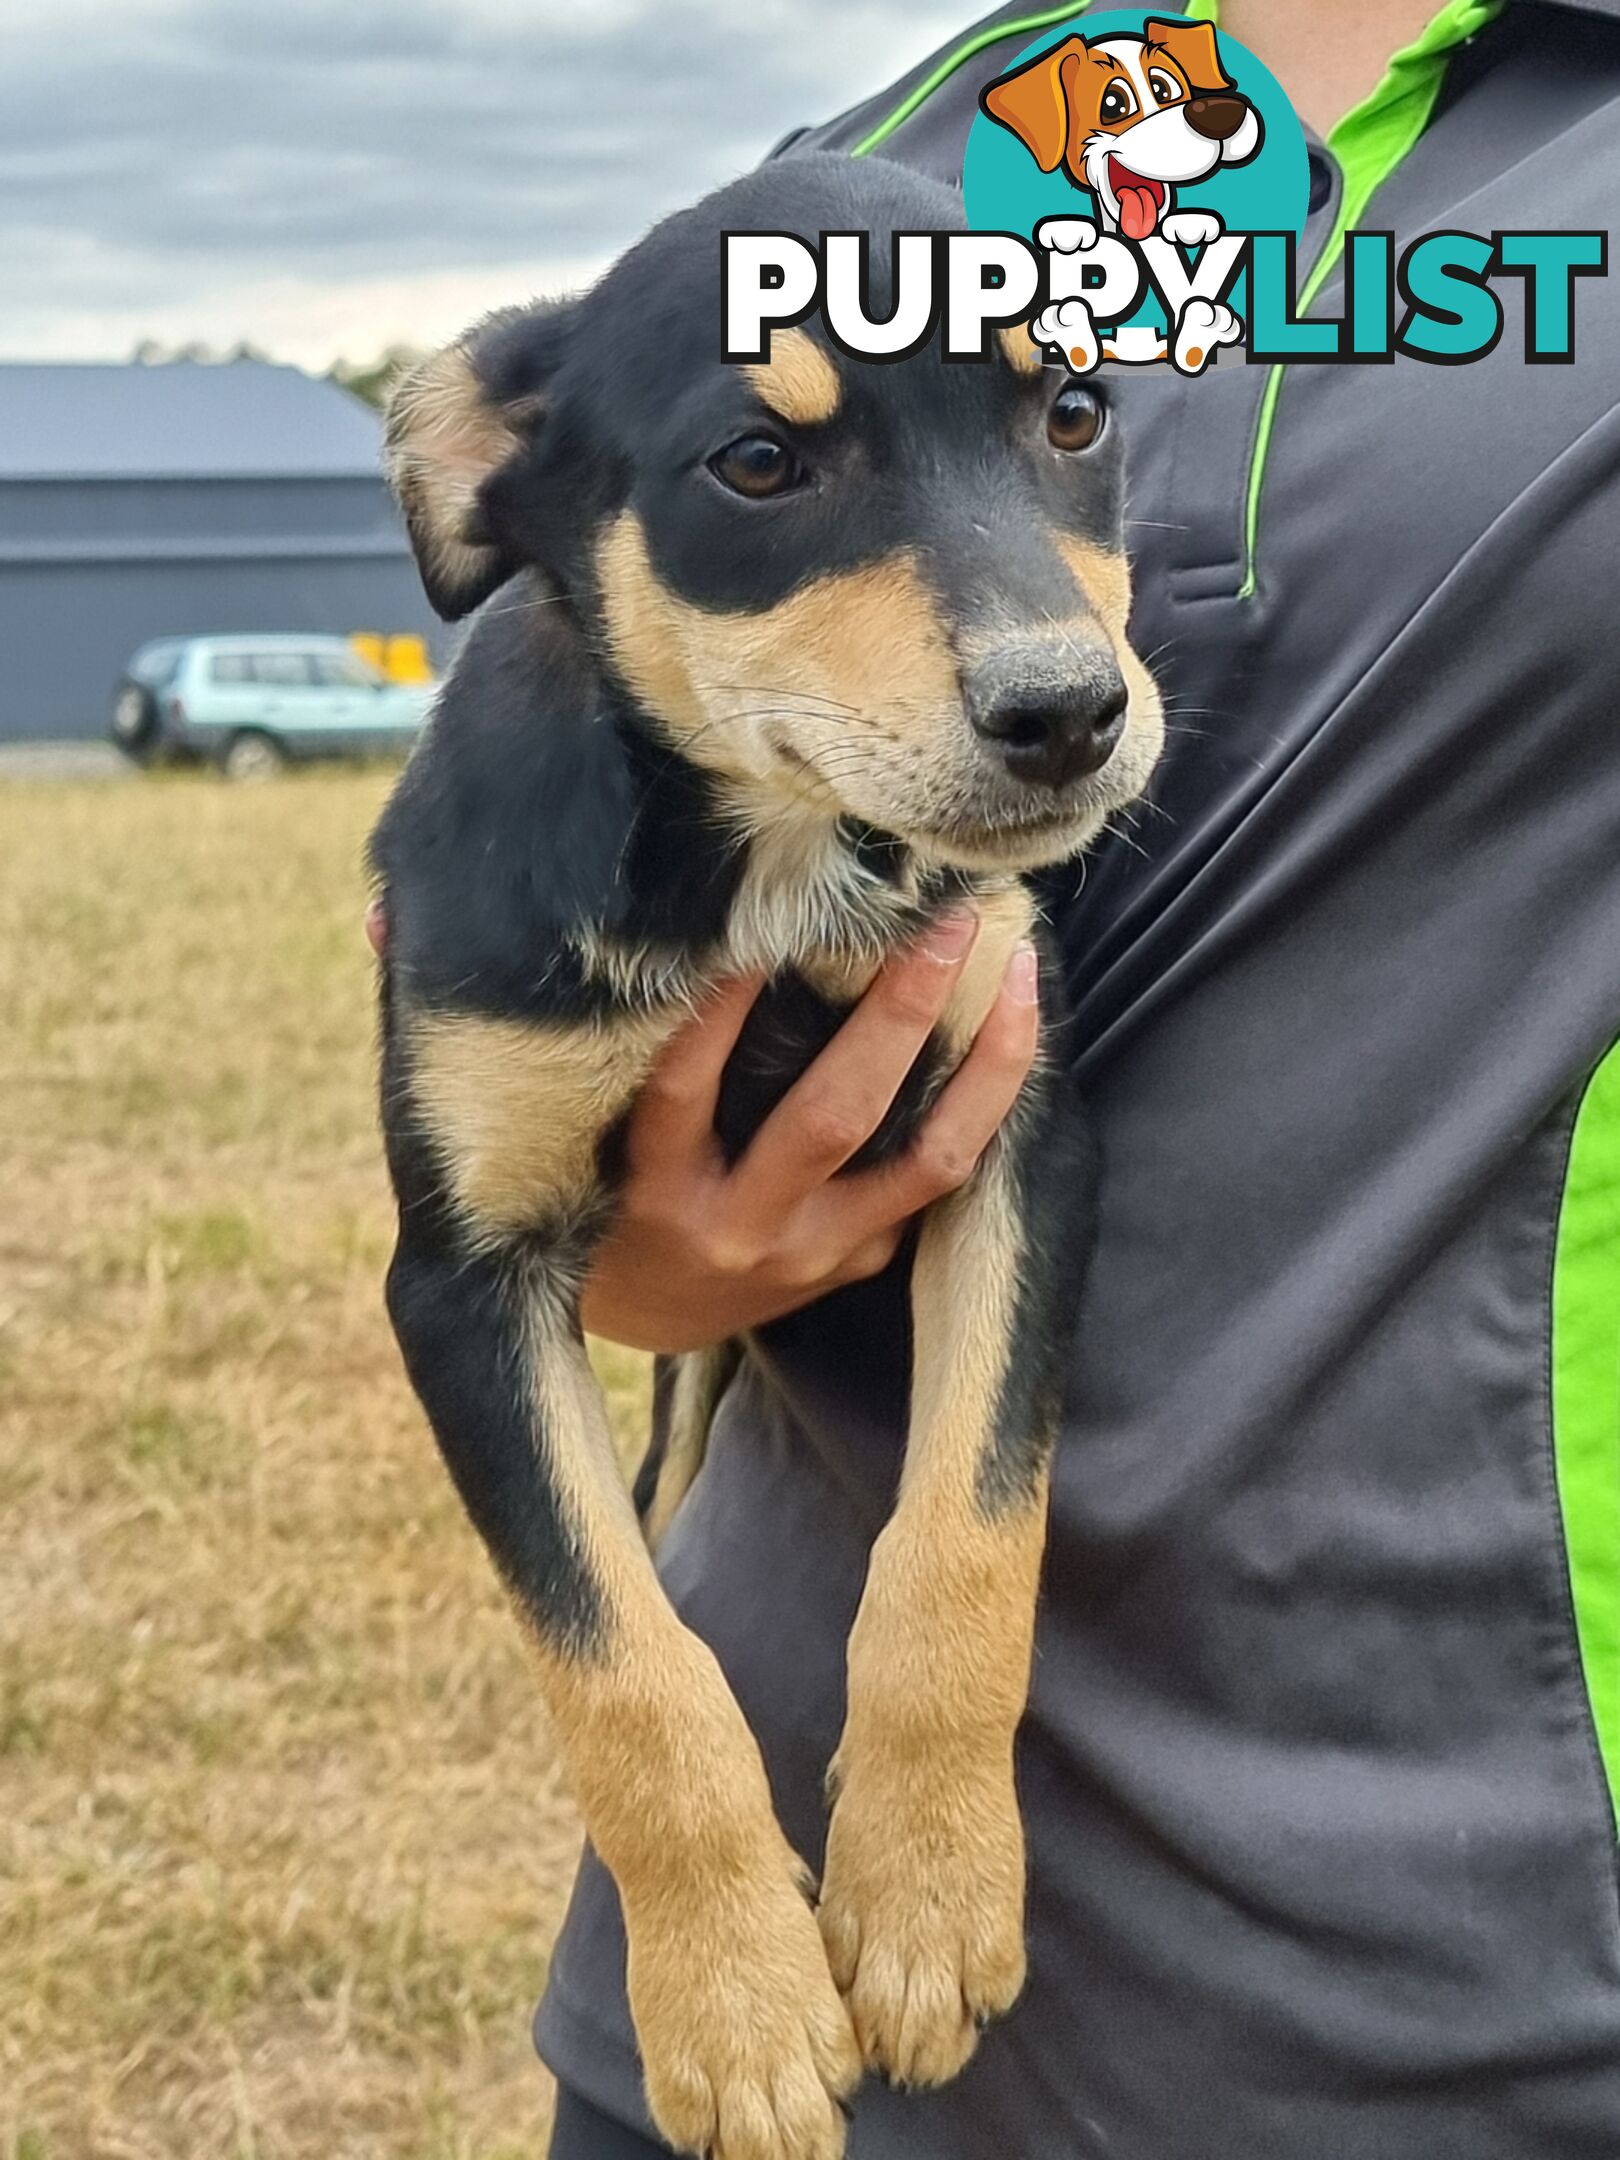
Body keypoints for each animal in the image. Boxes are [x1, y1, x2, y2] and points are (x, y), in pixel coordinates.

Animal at [373, 156, 1166, 2160]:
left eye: (1074, 412)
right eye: (755, 464)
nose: (1070, 713)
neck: (767, 871)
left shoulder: (1023, 1144)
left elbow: (968, 1540)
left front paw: (929, 1897)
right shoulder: (460, 1285)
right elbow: (623, 1666)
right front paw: (732, 2008)